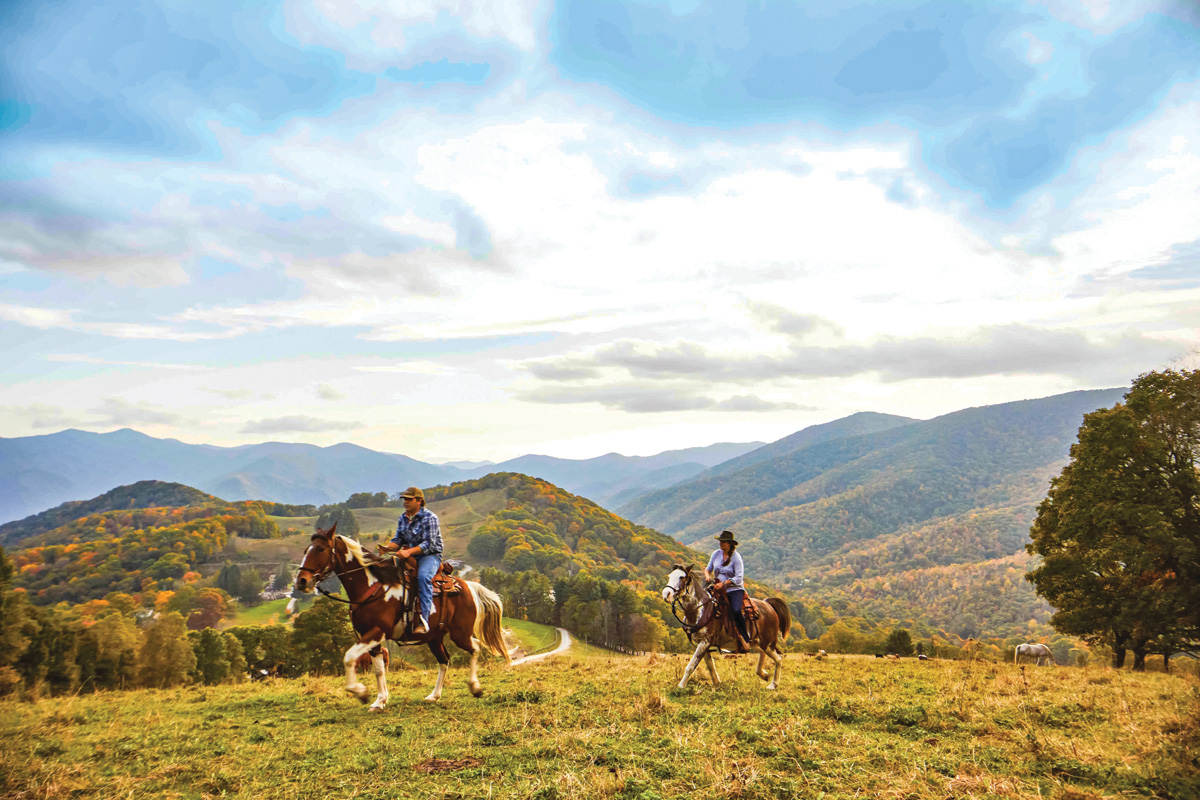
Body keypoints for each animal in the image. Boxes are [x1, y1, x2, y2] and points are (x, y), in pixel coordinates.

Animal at [296, 525, 516, 714]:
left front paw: (361, 693)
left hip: (460, 634)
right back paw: (434, 695)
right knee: (445, 660)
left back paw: (475, 687)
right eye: (306, 550)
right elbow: (378, 670)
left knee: (475, 648)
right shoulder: (372, 638)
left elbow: (349, 657)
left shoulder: (376, 632)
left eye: (321, 549)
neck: (372, 587)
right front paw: (380, 700)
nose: (301, 581)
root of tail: (469, 585)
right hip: (434, 637)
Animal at [662, 563, 792, 690]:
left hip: (767, 642)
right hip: (756, 642)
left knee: (778, 658)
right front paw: (717, 683)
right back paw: (764, 674)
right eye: (669, 576)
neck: (702, 609)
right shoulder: (702, 644)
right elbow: (710, 666)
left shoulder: (704, 642)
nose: (666, 594)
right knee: (764, 654)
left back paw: (773, 684)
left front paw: (680, 686)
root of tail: (768, 604)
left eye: (681, 577)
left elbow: (691, 666)